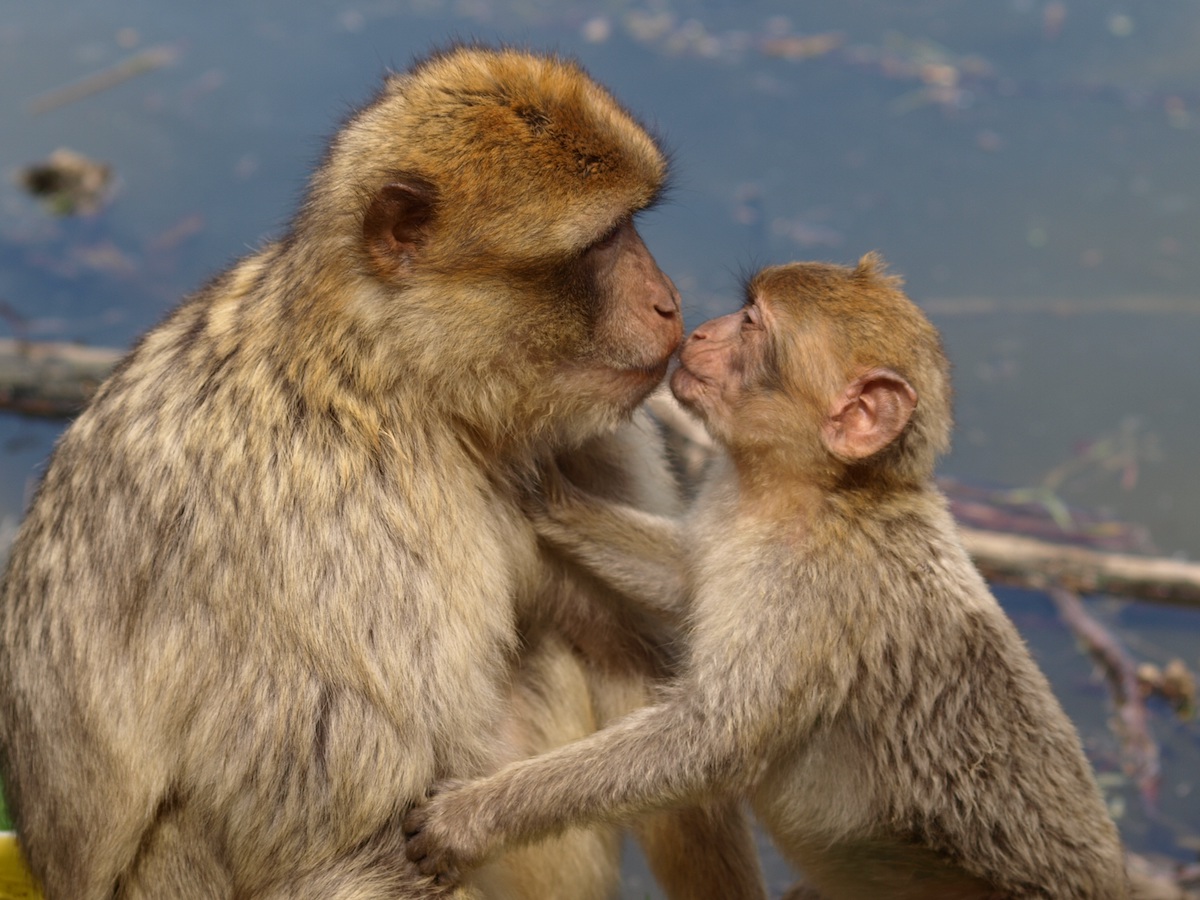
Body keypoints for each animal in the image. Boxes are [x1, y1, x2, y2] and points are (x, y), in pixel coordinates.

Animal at [0, 46, 766, 900]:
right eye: (600, 243)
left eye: (632, 225)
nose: (668, 303)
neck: (396, 383)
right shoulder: (342, 535)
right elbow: (340, 835)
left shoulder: (583, 444)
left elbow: (642, 659)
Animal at [402, 254, 1131, 899]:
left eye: (751, 324)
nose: (698, 330)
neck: (813, 493)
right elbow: (686, 578)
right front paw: (545, 492)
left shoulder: (809, 590)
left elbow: (708, 742)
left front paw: (474, 817)